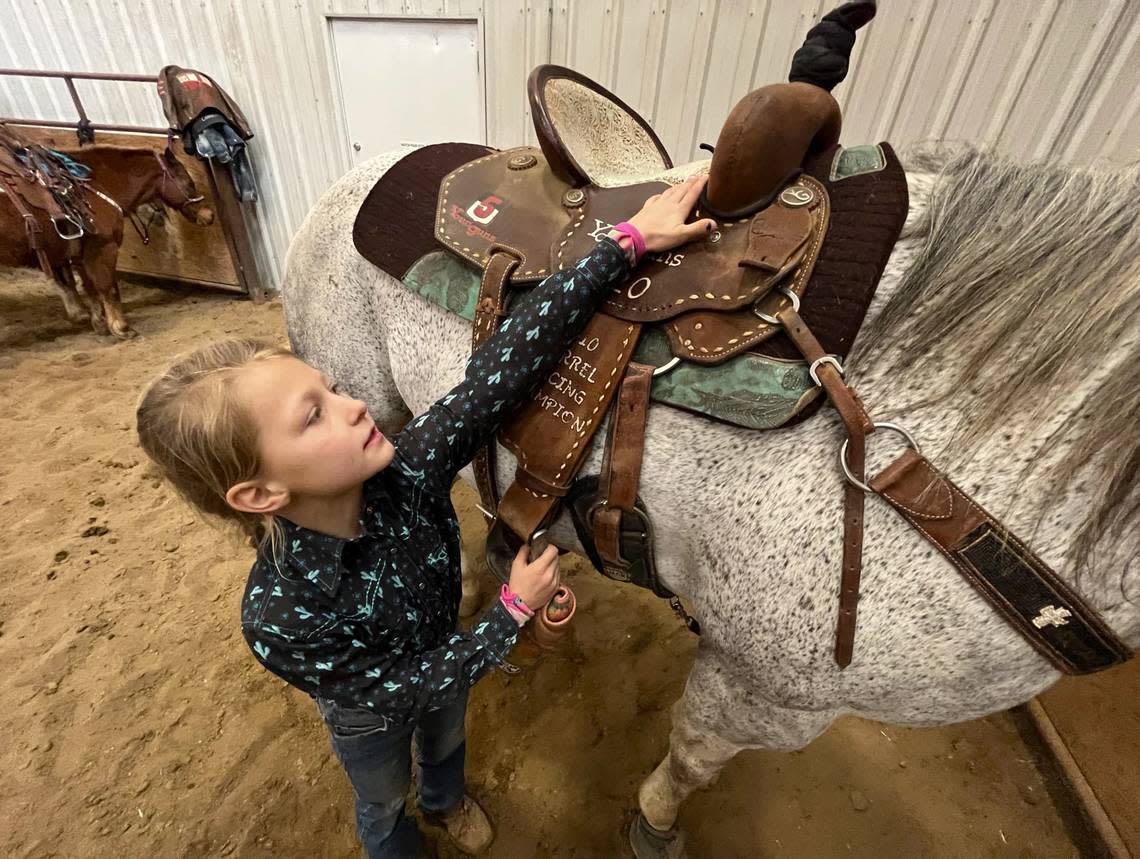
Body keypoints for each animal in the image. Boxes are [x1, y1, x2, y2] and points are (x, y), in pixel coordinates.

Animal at [0, 145, 214, 337]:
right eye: (189, 183)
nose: (209, 215)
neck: (93, 188)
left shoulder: (81, 256)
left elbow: (91, 288)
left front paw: (100, 324)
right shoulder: (104, 248)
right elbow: (108, 287)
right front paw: (121, 328)